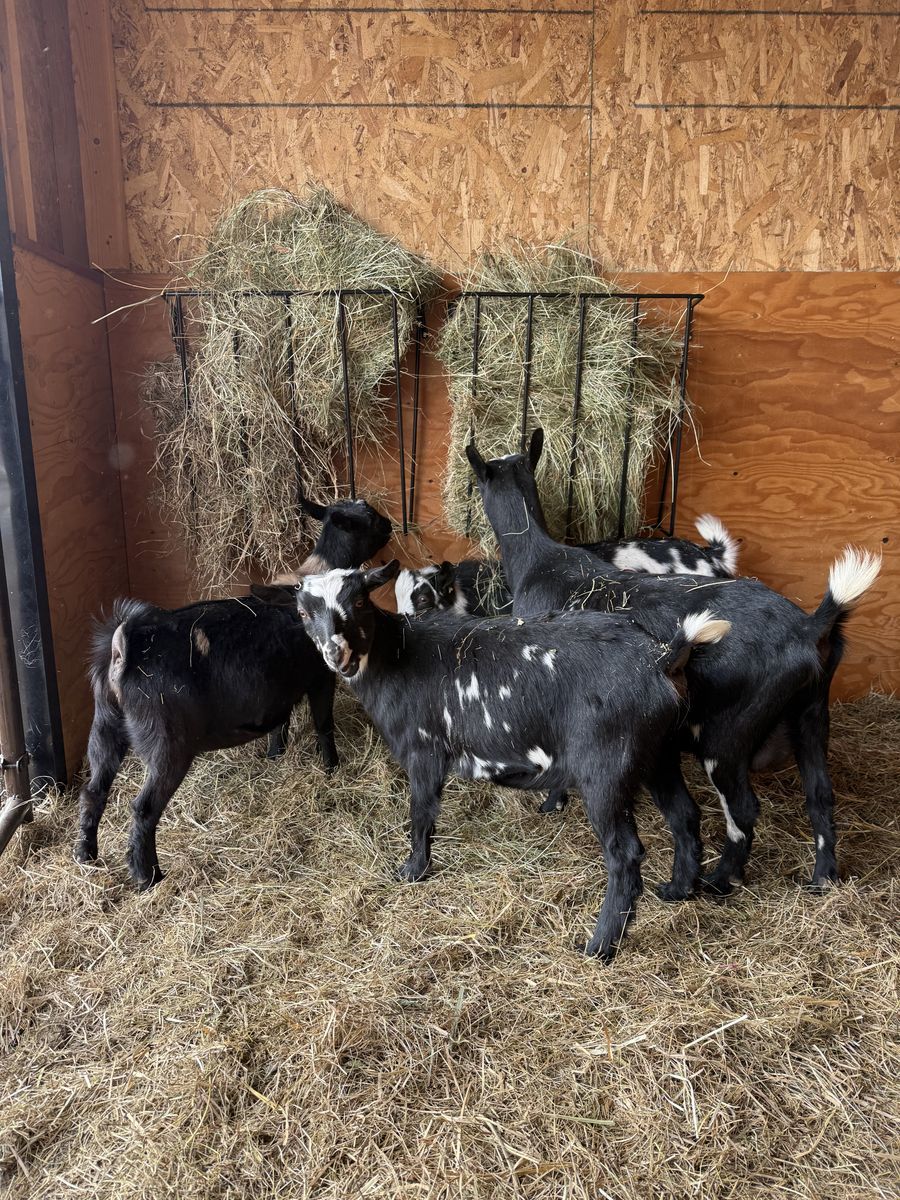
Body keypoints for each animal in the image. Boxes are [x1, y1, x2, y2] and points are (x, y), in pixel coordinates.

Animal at [74, 496, 392, 889]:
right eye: (369, 518)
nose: (391, 526)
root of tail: (123, 647)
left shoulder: (277, 689)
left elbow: (279, 723)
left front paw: (274, 756)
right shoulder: (319, 678)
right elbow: (323, 725)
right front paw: (332, 768)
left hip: (104, 727)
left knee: (94, 790)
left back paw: (86, 853)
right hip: (165, 742)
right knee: (143, 809)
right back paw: (147, 875)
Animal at [296, 560, 730, 961]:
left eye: (358, 601)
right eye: (303, 612)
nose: (337, 656)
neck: (396, 657)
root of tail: (661, 659)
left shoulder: (424, 751)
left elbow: (421, 814)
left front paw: (412, 871)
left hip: (606, 769)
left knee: (625, 855)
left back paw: (600, 945)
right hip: (659, 752)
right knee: (684, 816)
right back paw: (677, 890)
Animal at [466, 429, 880, 898]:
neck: (541, 559)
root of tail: (811, 627)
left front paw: (551, 805)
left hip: (727, 735)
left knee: (743, 809)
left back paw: (719, 880)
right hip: (810, 714)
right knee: (820, 795)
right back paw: (821, 878)